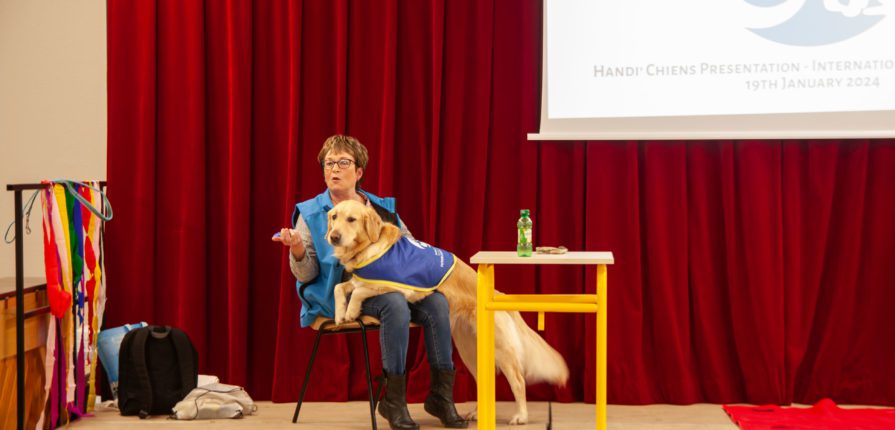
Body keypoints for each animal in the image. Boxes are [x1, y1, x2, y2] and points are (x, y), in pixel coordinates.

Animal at [328, 200, 568, 424]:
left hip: (501, 349)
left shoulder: (400, 286)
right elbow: (340, 287)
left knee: (518, 380)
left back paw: (520, 416)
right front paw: (339, 313)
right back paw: (476, 414)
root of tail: (497, 292)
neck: (370, 248)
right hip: (471, 351)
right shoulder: (358, 279)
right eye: (334, 217)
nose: (333, 236)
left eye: (351, 219)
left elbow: (360, 291)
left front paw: (350, 311)